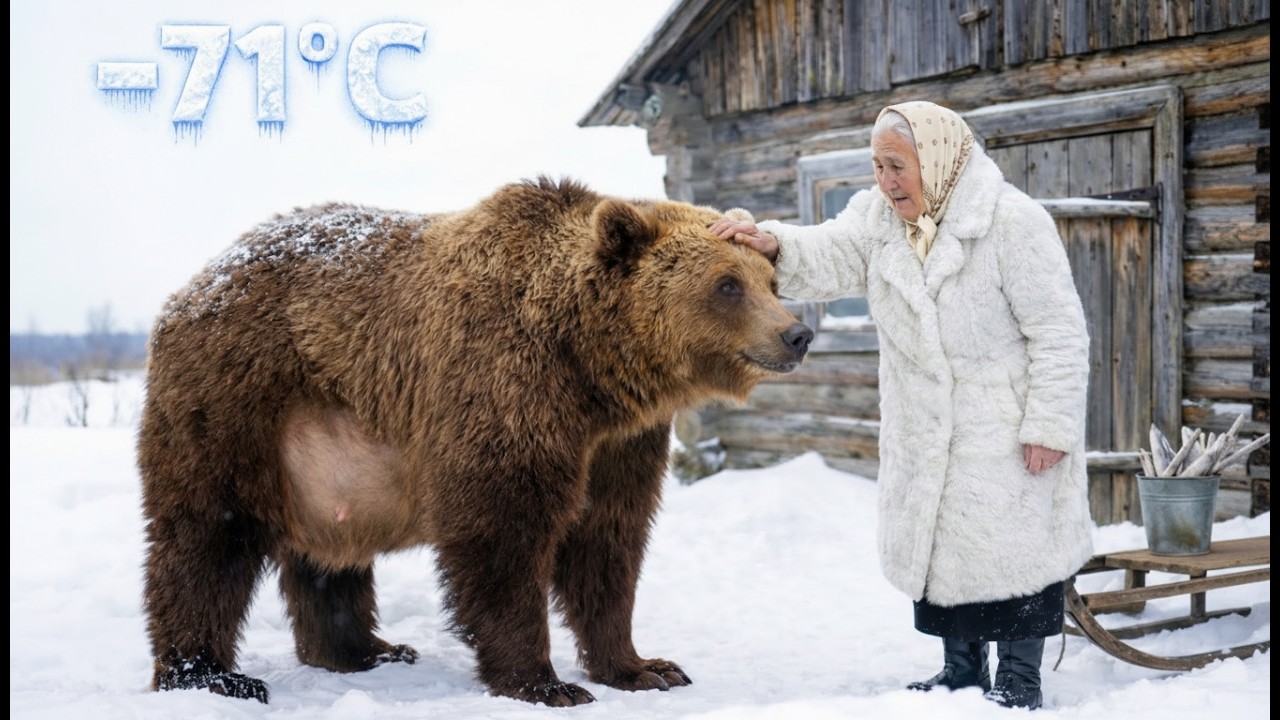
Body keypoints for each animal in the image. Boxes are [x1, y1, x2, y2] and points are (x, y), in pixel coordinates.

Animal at [137, 176, 813, 707]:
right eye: (727, 284)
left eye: (769, 281)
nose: (797, 334)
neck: (589, 367)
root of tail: (191, 286)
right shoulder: (503, 385)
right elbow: (502, 529)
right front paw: (546, 683)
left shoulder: (620, 443)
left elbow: (607, 541)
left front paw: (645, 667)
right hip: (237, 401)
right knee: (208, 533)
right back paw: (210, 675)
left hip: (322, 454)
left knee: (328, 553)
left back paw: (367, 650)